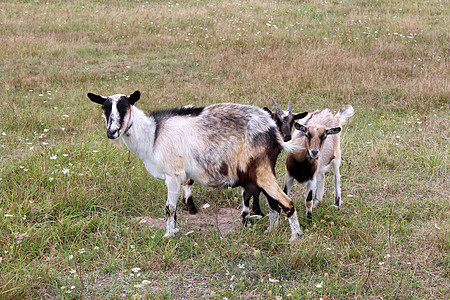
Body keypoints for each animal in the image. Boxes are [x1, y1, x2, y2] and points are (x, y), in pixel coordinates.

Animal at [87, 91, 306, 241]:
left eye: (125, 107)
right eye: (105, 108)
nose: (112, 132)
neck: (153, 135)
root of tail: (273, 131)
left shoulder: (173, 175)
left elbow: (169, 208)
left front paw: (168, 236)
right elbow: (175, 208)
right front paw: (174, 230)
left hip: (262, 171)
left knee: (287, 203)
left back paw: (295, 238)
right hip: (260, 172)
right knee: (273, 205)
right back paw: (271, 232)